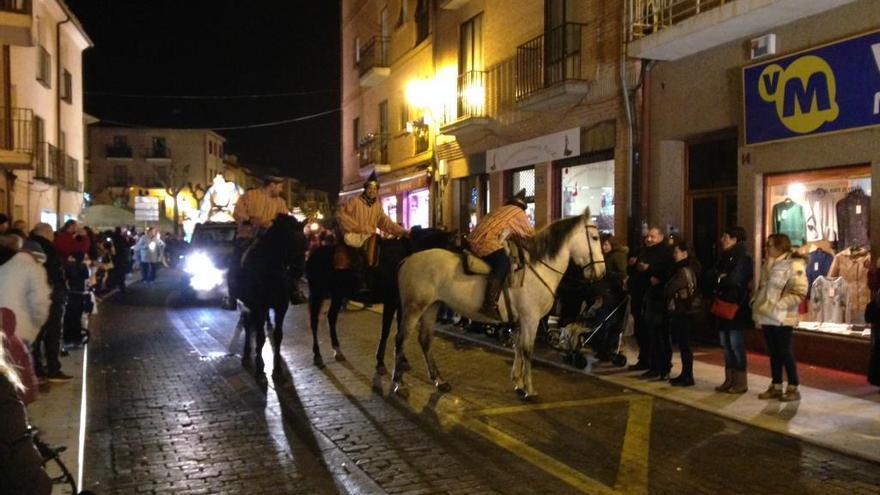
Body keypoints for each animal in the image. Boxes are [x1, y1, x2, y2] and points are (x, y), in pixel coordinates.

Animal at [394, 209, 604, 400]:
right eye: (594, 237)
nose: (602, 272)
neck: (539, 269)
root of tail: (407, 259)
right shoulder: (531, 319)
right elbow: (527, 351)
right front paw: (529, 389)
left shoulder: (520, 321)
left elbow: (518, 348)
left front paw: (518, 383)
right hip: (414, 308)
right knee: (400, 339)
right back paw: (399, 384)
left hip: (432, 307)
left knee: (425, 341)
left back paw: (439, 380)